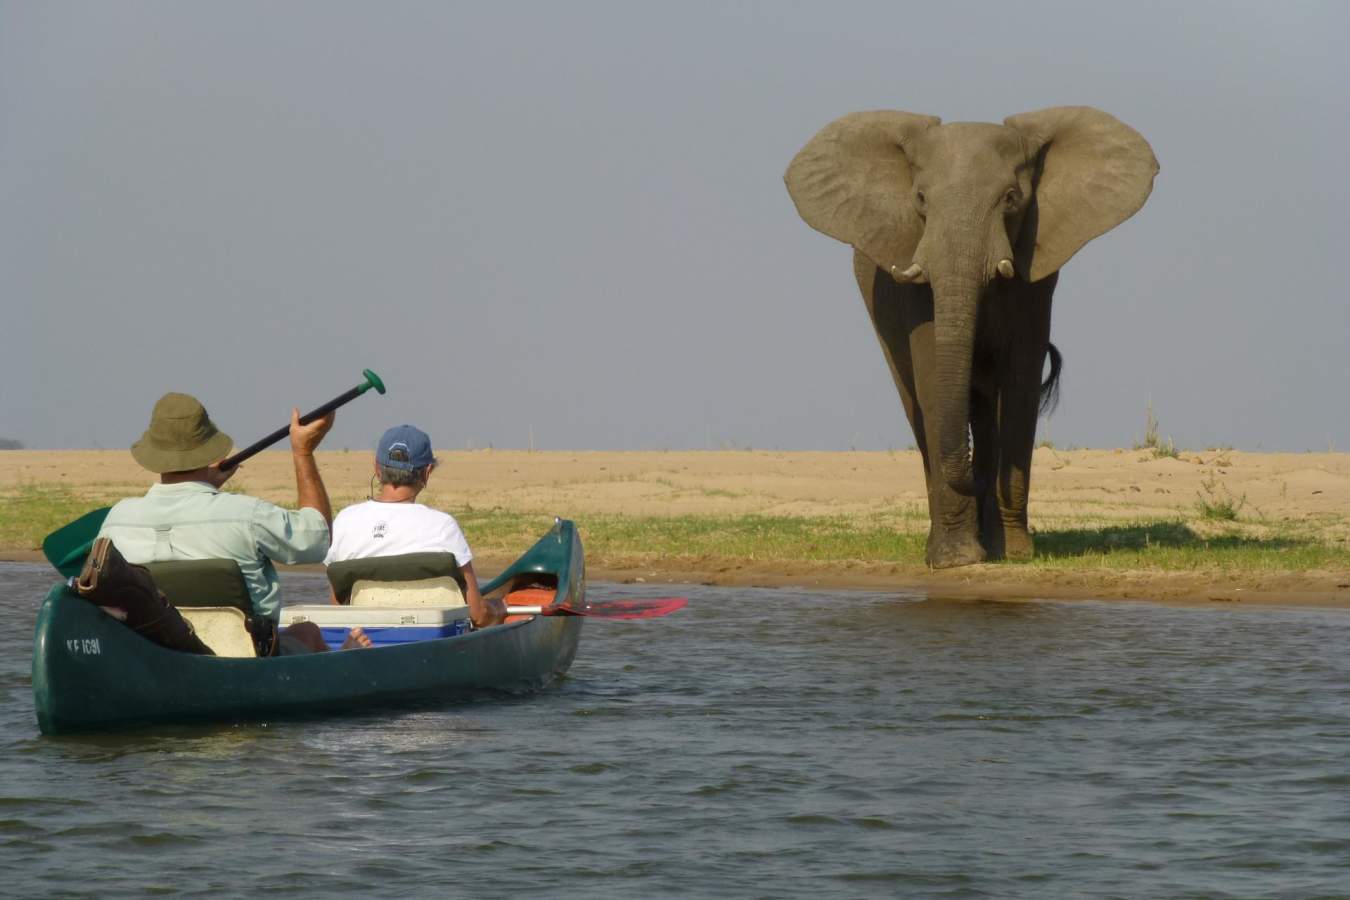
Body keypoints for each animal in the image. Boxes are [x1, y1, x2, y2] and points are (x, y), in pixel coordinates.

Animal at [785, 106, 1157, 568]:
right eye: (920, 200)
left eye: (1011, 199)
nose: (975, 484)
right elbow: (931, 371)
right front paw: (957, 559)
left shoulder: (1035, 276)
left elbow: (1020, 380)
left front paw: (1014, 554)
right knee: (916, 404)